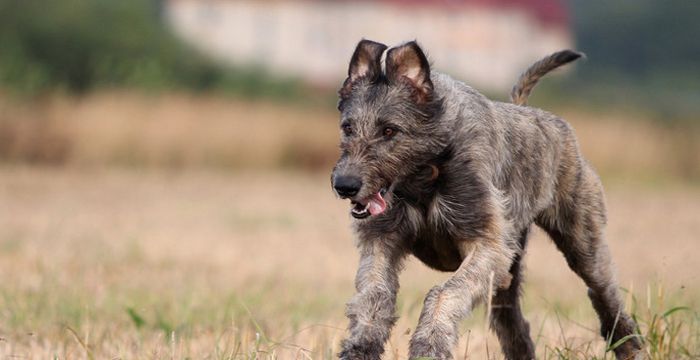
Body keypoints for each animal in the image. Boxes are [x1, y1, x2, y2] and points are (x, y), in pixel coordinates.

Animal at [330, 39, 644, 360]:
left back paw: (628, 345)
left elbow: (444, 291)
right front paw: (359, 348)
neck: (425, 174)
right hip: (510, 267)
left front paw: (429, 346)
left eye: (389, 130)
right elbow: (374, 293)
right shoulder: (381, 241)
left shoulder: (486, 245)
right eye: (348, 127)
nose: (344, 186)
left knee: (603, 290)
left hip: (582, 238)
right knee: (513, 321)